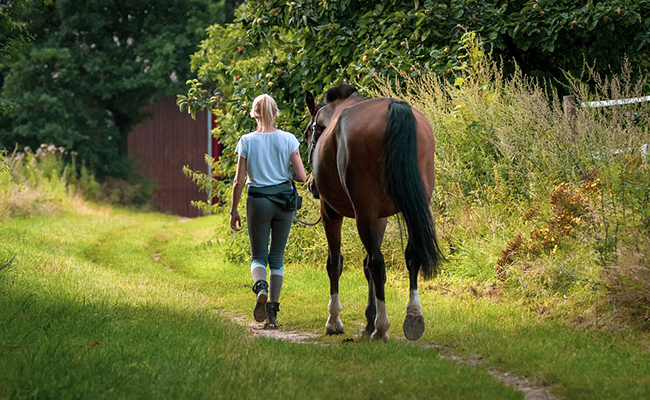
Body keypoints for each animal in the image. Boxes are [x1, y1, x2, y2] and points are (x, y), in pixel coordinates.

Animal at [304, 84, 440, 340]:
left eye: (309, 131)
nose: (311, 185)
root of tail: (395, 108)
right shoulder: (380, 217)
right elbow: (367, 266)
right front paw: (368, 321)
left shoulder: (331, 212)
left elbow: (335, 263)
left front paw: (334, 321)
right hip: (413, 205)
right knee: (410, 256)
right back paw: (412, 317)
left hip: (362, 212)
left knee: (377, 262)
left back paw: (382, 328)